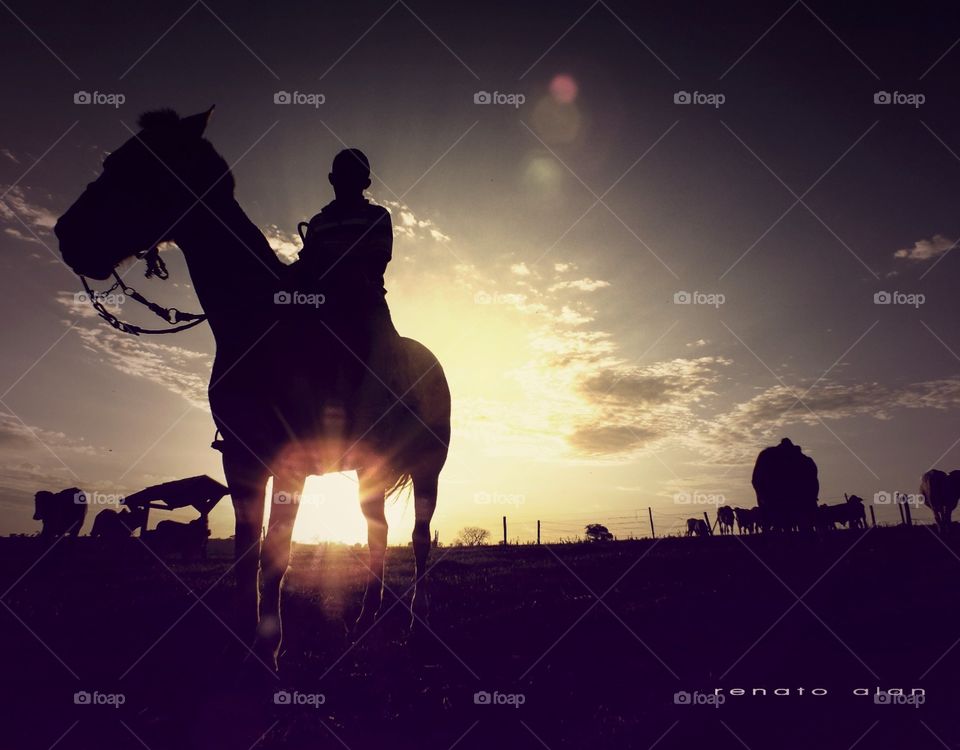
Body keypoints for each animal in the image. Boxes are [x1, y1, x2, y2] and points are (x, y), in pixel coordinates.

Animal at [54, 107, 452, 668]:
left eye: (134, 165)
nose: (66, 234)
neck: (262, 325)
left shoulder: (289, 464)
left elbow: (275, 556)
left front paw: (268, 649)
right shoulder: (241, 461)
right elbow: (246, 554)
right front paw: (242, 643)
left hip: (427, 470)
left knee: (418, 540)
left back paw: (415, 628)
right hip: (369, 474)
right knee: (378, 533)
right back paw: (363, 622)